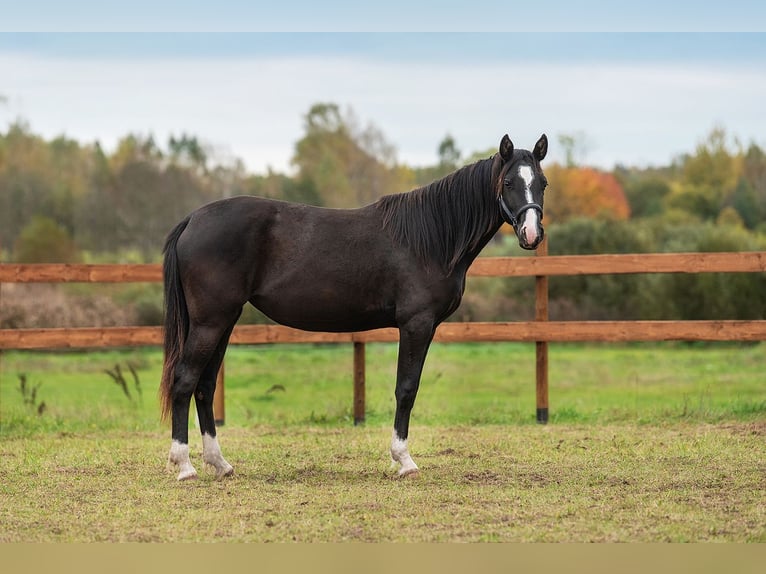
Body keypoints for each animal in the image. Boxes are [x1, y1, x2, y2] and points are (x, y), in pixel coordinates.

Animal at [162, 134, 548, 482]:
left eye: (542, 183)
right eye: (509, 182)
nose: (531, 234)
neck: (431, 238)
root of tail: (193, 220)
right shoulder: (417, 323)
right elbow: (406, 388)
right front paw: (404, 461)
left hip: (224, 322)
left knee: (204, 386)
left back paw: (220, 464)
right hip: (210, 323)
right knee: (184, 381)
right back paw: (185, 467)